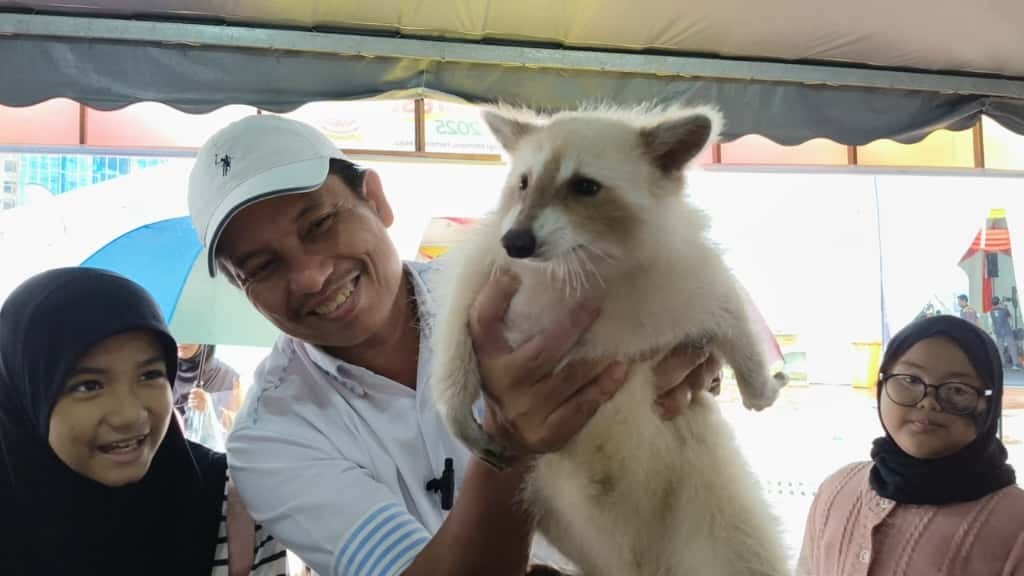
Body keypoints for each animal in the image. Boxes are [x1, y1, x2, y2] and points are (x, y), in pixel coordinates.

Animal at [430, 103, 790, 576]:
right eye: (523, 183)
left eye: (585, 186)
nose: (518, 242)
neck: (583, 258)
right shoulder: (493, 265)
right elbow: (458, 316)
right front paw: (453, 399)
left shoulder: (684, 271)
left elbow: (731, 310)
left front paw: (757, 383)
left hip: (715, 507)